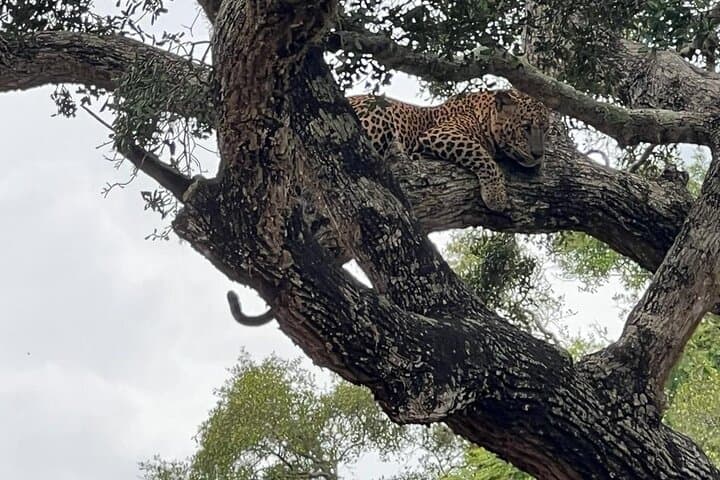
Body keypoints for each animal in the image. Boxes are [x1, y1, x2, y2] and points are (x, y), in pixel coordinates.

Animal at [347, 89, 550, 212]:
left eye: (546, 129)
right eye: (526, 128)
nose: (538, 154)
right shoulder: (441, 133)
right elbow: (481, 154)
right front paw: (496, 196)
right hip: (378, 113)